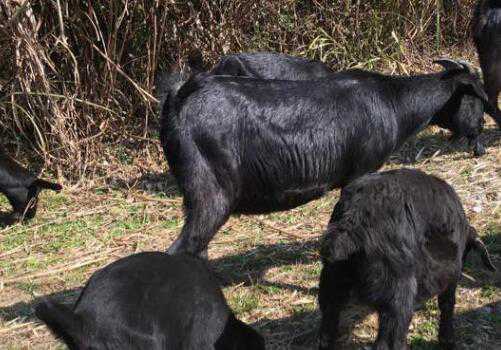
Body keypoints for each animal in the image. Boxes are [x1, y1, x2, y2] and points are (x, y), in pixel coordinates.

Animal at [161, 58, 488, 256]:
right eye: (476, 98)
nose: (481, 136)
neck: (393, 102)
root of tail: (180, 98)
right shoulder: (362, 170)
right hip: (211, 192)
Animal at [318, 168, 494, 348]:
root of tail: (353, 220)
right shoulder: (451, 274)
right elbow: (447, 303)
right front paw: (447, 340)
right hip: (397, 294)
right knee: (389, 341)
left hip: (332, 280)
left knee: (327, 324)